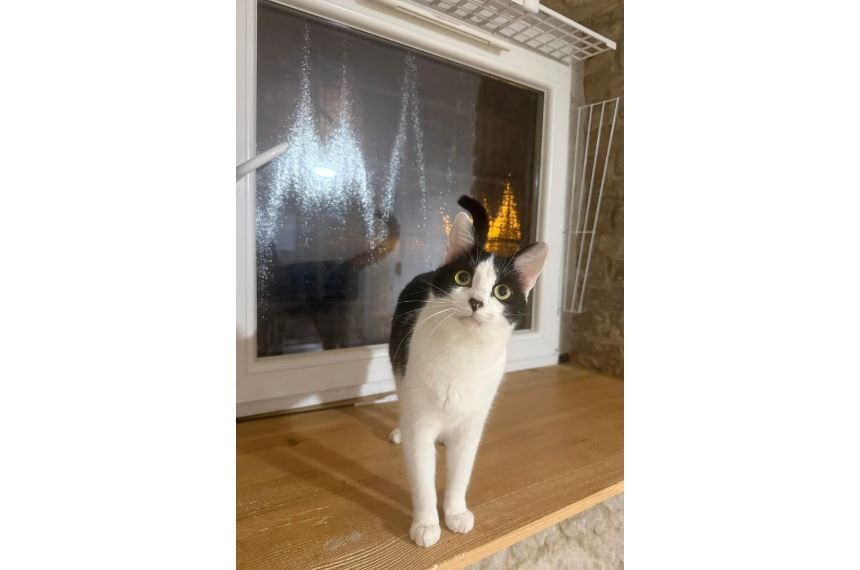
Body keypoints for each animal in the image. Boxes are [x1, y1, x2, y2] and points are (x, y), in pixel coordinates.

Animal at [388, 195, 549, 547]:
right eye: (463, 278)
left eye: (501, 292)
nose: (476, 302)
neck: (464, 351)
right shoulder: (421, 420)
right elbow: (422, 475)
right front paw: (426, 524)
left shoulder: (473, 421)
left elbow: (461, 471)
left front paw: (456, 512)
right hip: (399, 364)